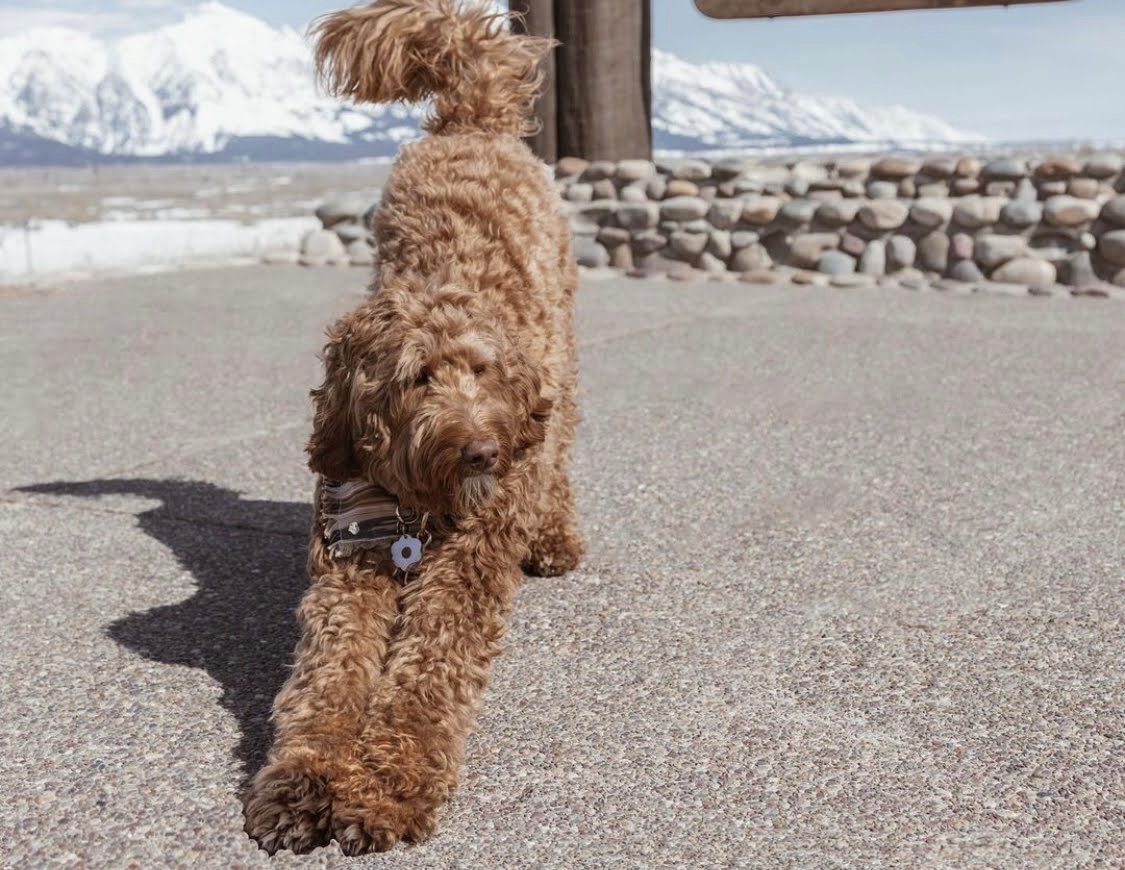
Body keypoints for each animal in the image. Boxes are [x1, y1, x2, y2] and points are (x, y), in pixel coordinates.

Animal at [240, 0, 585, 855]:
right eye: (415, 378)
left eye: (483, 372)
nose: (483, 449)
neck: (412, 508)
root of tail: (472, 122)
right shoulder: (347, 564)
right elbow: (325, 681)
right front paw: (301, 782)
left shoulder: (465, 562)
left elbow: (426, 679)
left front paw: (383, 791)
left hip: (562, 349)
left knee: (560, 446)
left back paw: (554, 535)